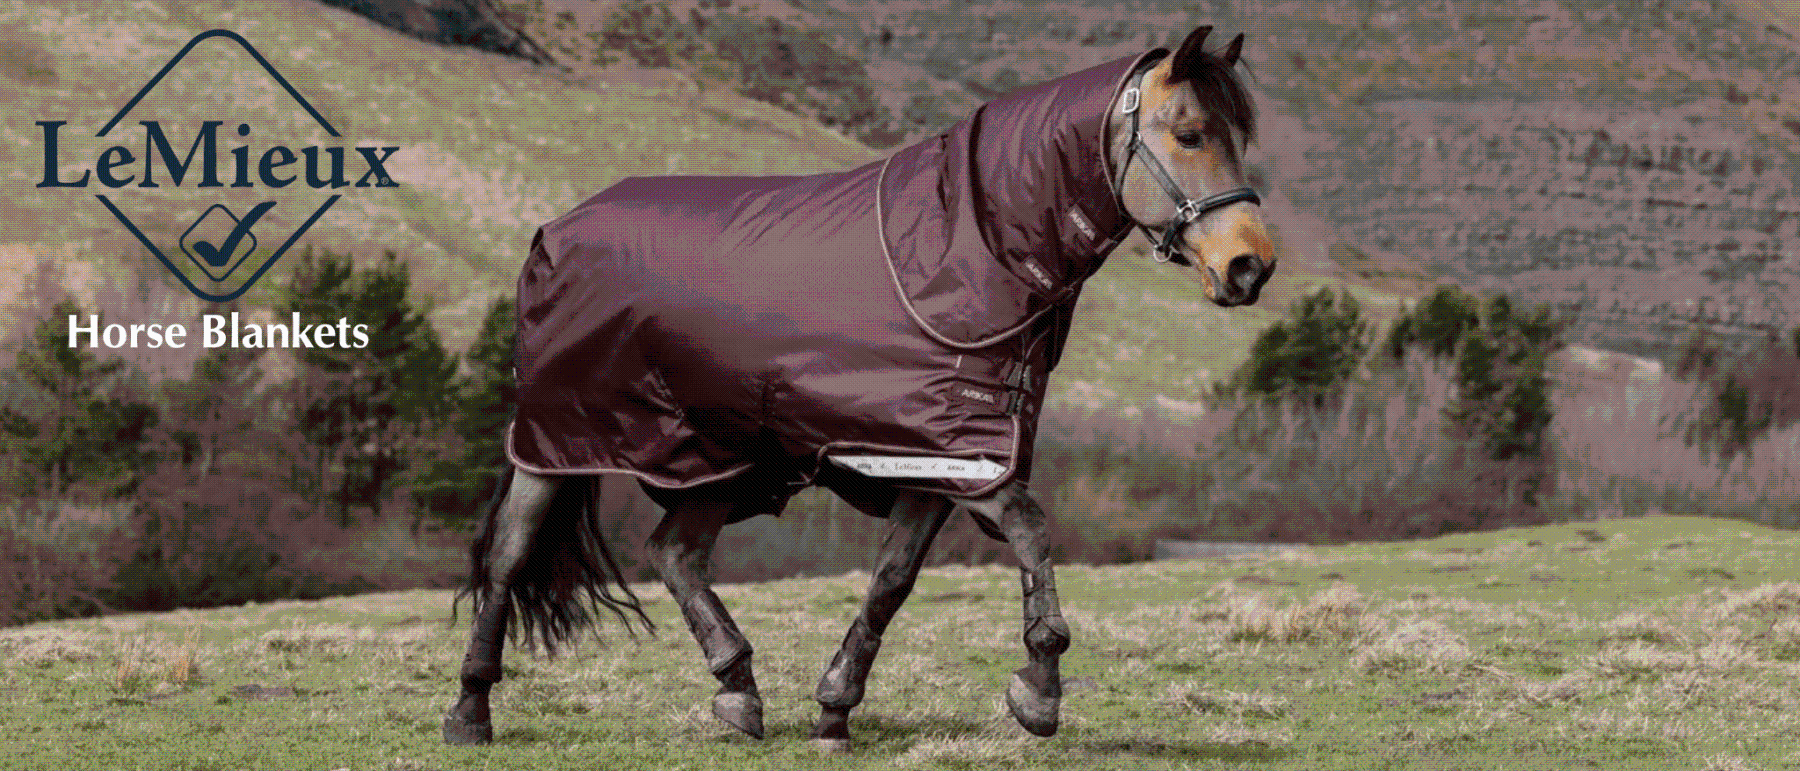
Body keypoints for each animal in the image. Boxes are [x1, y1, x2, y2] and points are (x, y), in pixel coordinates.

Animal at [443, 24, 1274, 750]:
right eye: (1190, 134)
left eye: (1238, 136)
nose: (1250, 266)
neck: (969, 250)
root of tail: (555, 229)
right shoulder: (963, 458)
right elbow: (1034, 533)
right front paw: (1039, 690)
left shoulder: (933, 463)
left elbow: (890, 584)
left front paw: (834, 711)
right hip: (557, 440)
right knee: (510, 553)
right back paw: (470, 709)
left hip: (717, 457)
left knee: (674, 552)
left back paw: (739, 689)